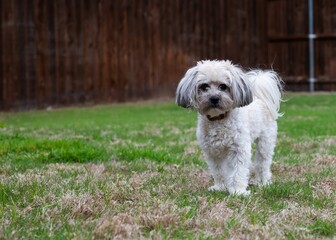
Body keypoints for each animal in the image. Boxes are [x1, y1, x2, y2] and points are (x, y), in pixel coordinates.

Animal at [176, 59, 284, 195]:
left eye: (223, 86)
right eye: (204, 86)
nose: (214, 98)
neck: (218, 119)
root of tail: (260, 100)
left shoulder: (239, 149)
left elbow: (238, 171)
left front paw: (238, 191)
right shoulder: (212, 152)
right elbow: (218, 171)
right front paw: (220, 187)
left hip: (265, 143)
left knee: (263, 163)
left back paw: (263, 182)